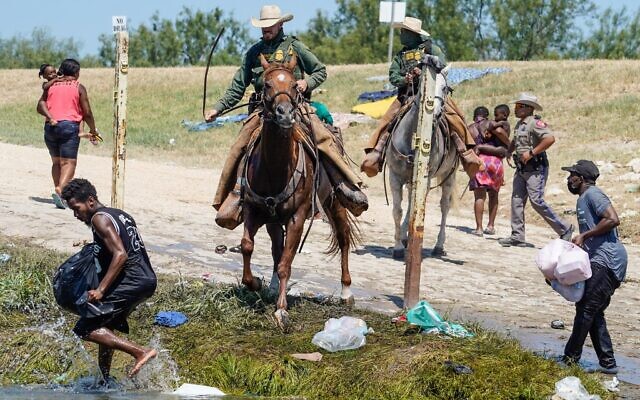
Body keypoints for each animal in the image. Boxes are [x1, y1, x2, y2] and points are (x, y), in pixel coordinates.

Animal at [241, 54, 360, 328]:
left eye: (295, 85)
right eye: (266, 85)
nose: (284, 114)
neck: (274, 168)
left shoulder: (297, 217)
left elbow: (287, 262)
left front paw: (281, 310)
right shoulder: (254, 210)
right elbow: (248, 246)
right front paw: (255, 283)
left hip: (334, 202)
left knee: (343, 238)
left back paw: (346, 292)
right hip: (274, 220)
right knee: (276, 248)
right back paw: (273, 286)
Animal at [388, 65, 458, 260]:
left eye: (445, 88)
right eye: (422, 86)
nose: (435, 113)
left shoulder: (425, 179)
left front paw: (402, 242)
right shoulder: (394, 176)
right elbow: (397, 211)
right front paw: (398, 246)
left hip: (449, 176)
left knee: (444, 206)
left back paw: (438, 246)